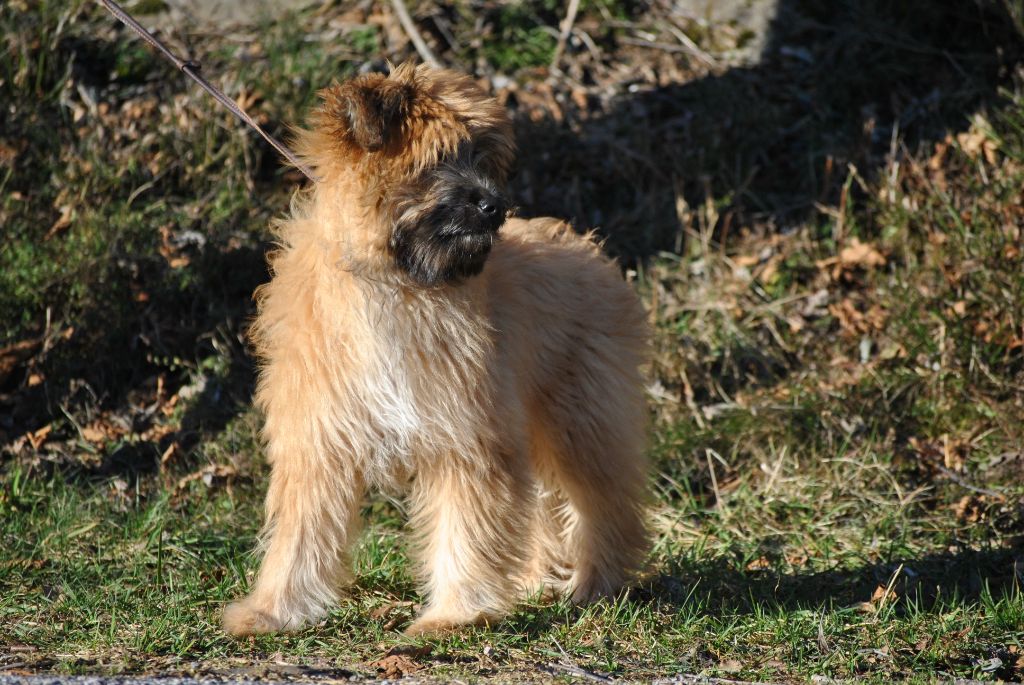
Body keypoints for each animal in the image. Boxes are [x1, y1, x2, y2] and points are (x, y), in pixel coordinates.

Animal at [223, 62, 647, 634]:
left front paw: (456, 614)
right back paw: (536, 579)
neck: (398, 284)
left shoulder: (468, 436)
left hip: (581, 419)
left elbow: (465, 527)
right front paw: (273, 608)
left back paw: (598, 583)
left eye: (482, 158)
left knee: (603, 502)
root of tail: (588, 248)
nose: (495, 206)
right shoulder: (319, 438)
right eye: (439, 159)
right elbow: (301, 532)